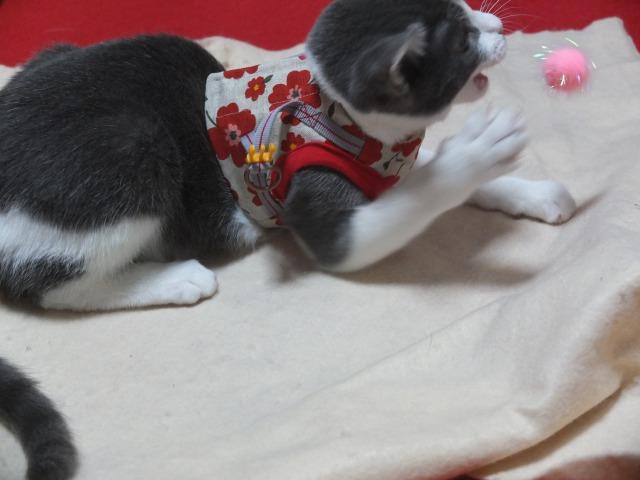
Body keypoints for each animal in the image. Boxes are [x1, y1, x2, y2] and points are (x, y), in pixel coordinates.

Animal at [0, 0, 577, 311]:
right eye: (462, 42)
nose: (497, 25)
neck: (341, 116)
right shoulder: (314, 193)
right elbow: (412, 199)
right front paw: (478, 152)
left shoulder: (392, 159)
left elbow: (422, 169)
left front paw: (532, 192)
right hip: (133, 150)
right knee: (47, 283)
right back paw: (177, 278)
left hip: (56, 53)